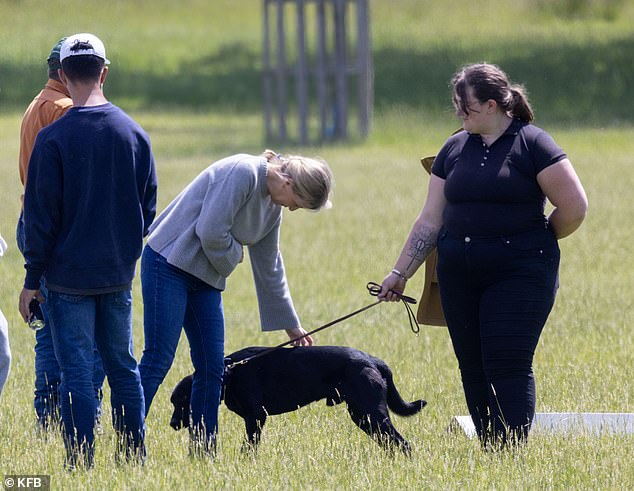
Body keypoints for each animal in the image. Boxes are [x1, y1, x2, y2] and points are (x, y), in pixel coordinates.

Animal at [169, 346, 424, 454]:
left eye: (182, 400)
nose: (172, 424)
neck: (229, 373)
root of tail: (373, 360)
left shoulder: (256, 417)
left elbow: (249, 447)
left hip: (371, 414)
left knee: (403, 443)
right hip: (364, 417)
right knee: (391, 443)